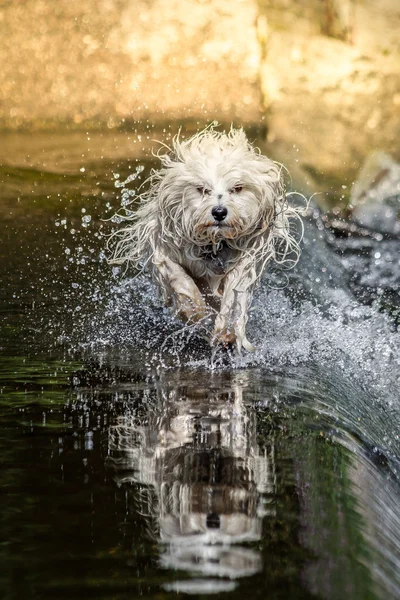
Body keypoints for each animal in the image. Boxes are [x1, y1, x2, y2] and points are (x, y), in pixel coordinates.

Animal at [109, 126, 304, 352]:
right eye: (202, 189)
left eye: (237, 188)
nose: (219, 212)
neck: (214, 243)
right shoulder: (164, 251)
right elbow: (181, 280)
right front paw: (195, 312)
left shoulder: (244, 261)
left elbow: (233, 298)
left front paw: (226, 331)